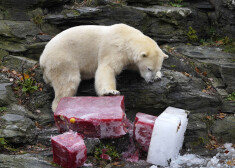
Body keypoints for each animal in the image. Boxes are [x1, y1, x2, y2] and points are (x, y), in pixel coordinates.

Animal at [39, 23, 168, 111]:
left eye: (156, 69)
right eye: (149, 68)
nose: (150, 81)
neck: (128, 37)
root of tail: (42, 60)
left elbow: (133, 65)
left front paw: (158, 76)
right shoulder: (114, 48)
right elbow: (107, 68)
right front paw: (110, 92)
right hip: (62, 60)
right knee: (68, 82)